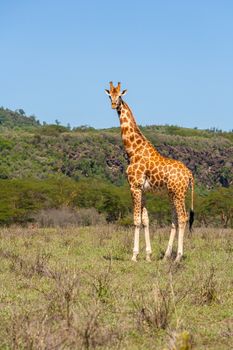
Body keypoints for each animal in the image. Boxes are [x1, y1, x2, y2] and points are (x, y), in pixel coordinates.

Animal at [104, 82, 194, 262]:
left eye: (120, 95)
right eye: (110, 95)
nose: (114, 105)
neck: (132, 151)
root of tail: (189, 174)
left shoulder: (134, 186)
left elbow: (136, 220)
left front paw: (134, 255)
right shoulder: (143, 189)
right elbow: (146, 219)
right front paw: (148, 255)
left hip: (178, 193)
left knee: (182, 218)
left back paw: (178, 257)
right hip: (172, 194)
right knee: (174, 219)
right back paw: (166, 256)